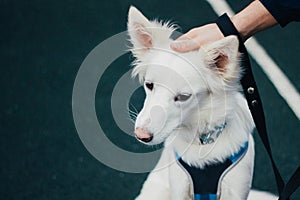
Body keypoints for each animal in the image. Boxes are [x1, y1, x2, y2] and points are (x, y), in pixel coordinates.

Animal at [127, 6, 278, 200]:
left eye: (183, 96)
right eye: (149, 85)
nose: (141, 135)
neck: (203, 140)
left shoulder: (237, 188)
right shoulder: (179, 187)